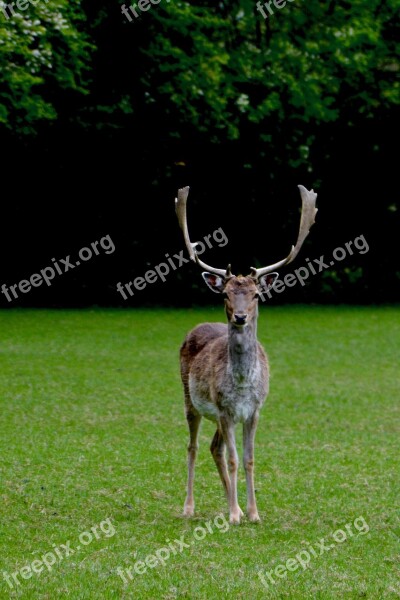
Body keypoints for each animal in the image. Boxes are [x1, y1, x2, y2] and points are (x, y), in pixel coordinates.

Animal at [177, 185, 318, 524]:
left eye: (255, 294)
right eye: (226, 294)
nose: (240, 316)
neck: (241, 385)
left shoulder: (254, 410)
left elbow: (250, 459)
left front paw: (252, 513)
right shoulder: (226, 410)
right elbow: (233, 459)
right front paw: (233, 515)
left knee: (213, 447)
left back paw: (235, 504)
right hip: (191, 400)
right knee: (193, 447)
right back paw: (189, 507)